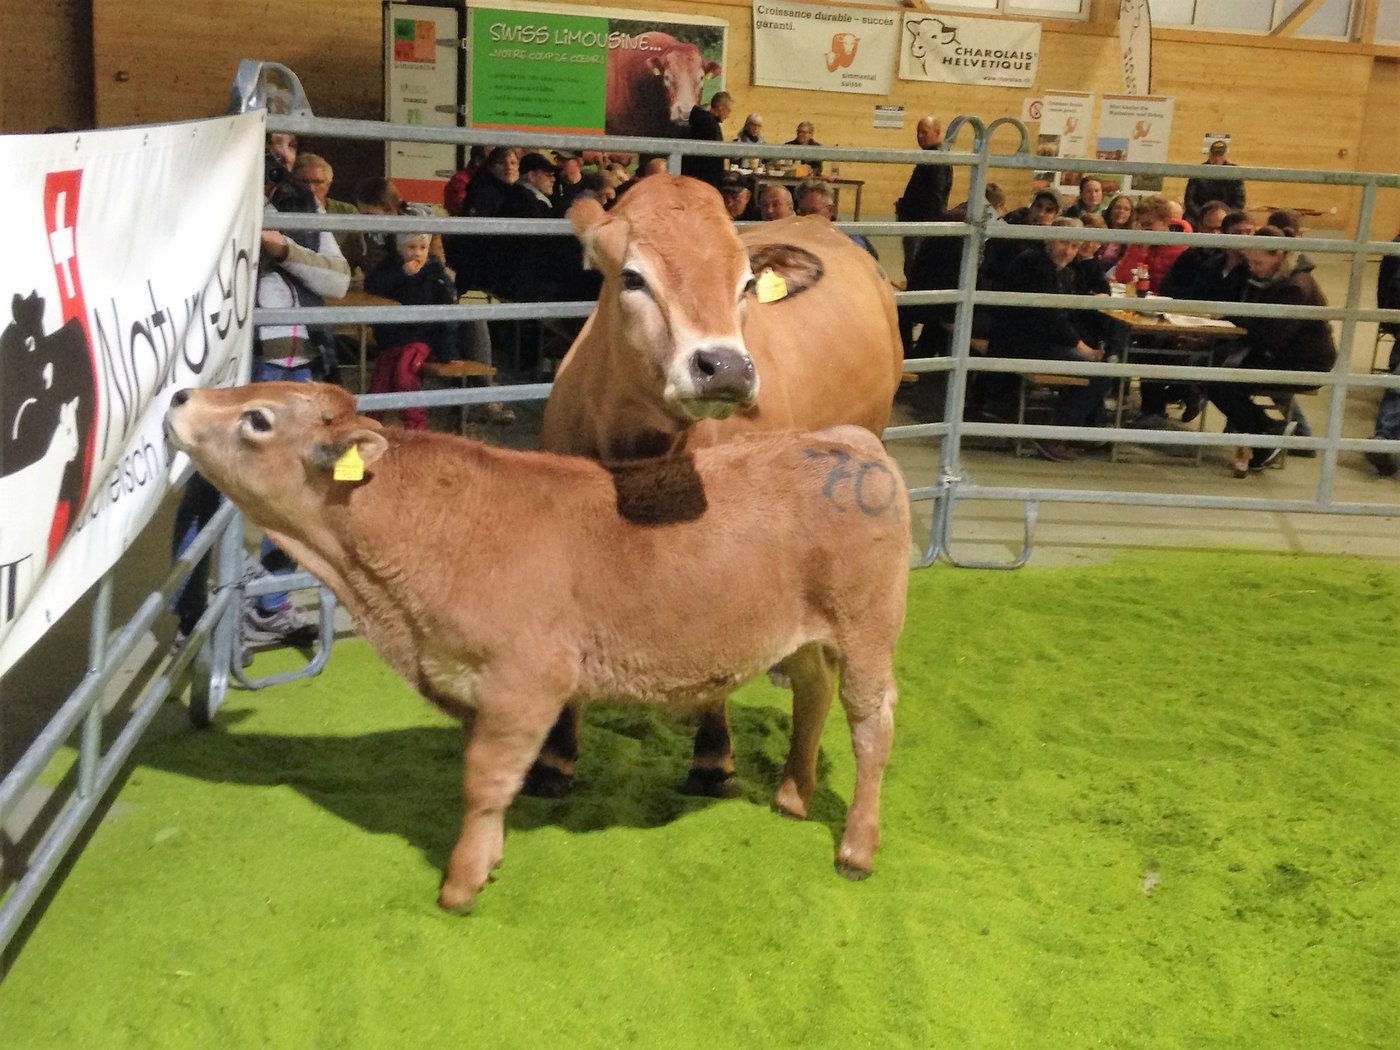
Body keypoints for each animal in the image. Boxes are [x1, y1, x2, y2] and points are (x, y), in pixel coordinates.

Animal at [164, 381, 909, 913]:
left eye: (257, 418)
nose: (178, 398)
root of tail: (847, 442)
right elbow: (491, 781)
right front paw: (487, 859)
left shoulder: (524, 684)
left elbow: (485, 781)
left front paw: (460, 883)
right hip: (801, 634)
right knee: (813, 693)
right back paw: (792, 794)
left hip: (869, 628)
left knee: (871, 726)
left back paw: (856, 847)